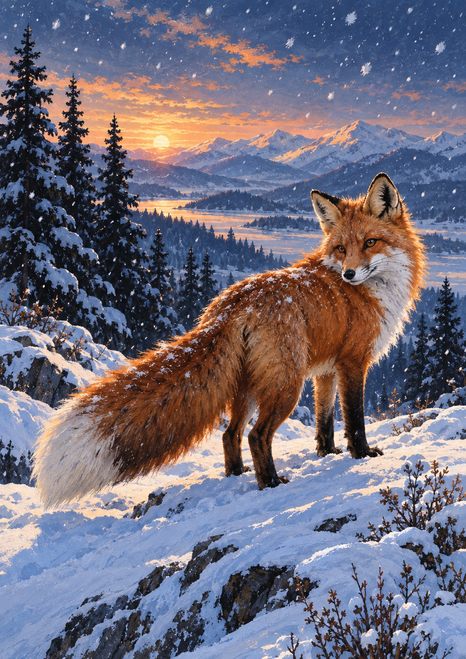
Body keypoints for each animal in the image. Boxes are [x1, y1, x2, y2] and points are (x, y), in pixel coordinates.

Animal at [33, 173, 425, 508]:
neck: (371, 293)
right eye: (342, 248)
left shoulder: (327, 372)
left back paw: (237, 475)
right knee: (256, 436)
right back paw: (270, 483)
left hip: (249, 386)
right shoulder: (352, 363)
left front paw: (327, 455)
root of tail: (231, 302)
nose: (348, 274)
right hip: (285, 385)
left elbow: (324, 422)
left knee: (229, 434)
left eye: (370, 243)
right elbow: (354, 419)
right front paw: (362, 455)